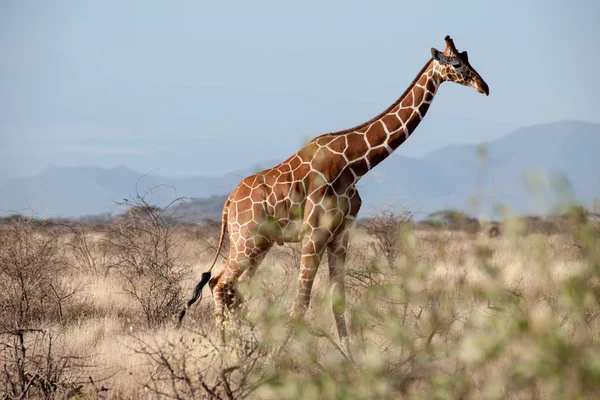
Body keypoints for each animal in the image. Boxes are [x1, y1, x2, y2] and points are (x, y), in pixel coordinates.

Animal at [178, 35, 488, 360]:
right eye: (457, 64)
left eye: (468, 58)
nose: (484, 86)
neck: (354, 165)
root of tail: (228, 204)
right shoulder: (314, 233)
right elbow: (301, 301)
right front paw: (277, 359)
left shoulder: (341, 234)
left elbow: (338, 301)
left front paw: (350, 360)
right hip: (246, 240)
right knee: (222, 284)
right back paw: (227, 352)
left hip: (259, 243)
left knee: (228, 287)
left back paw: (239, 349)